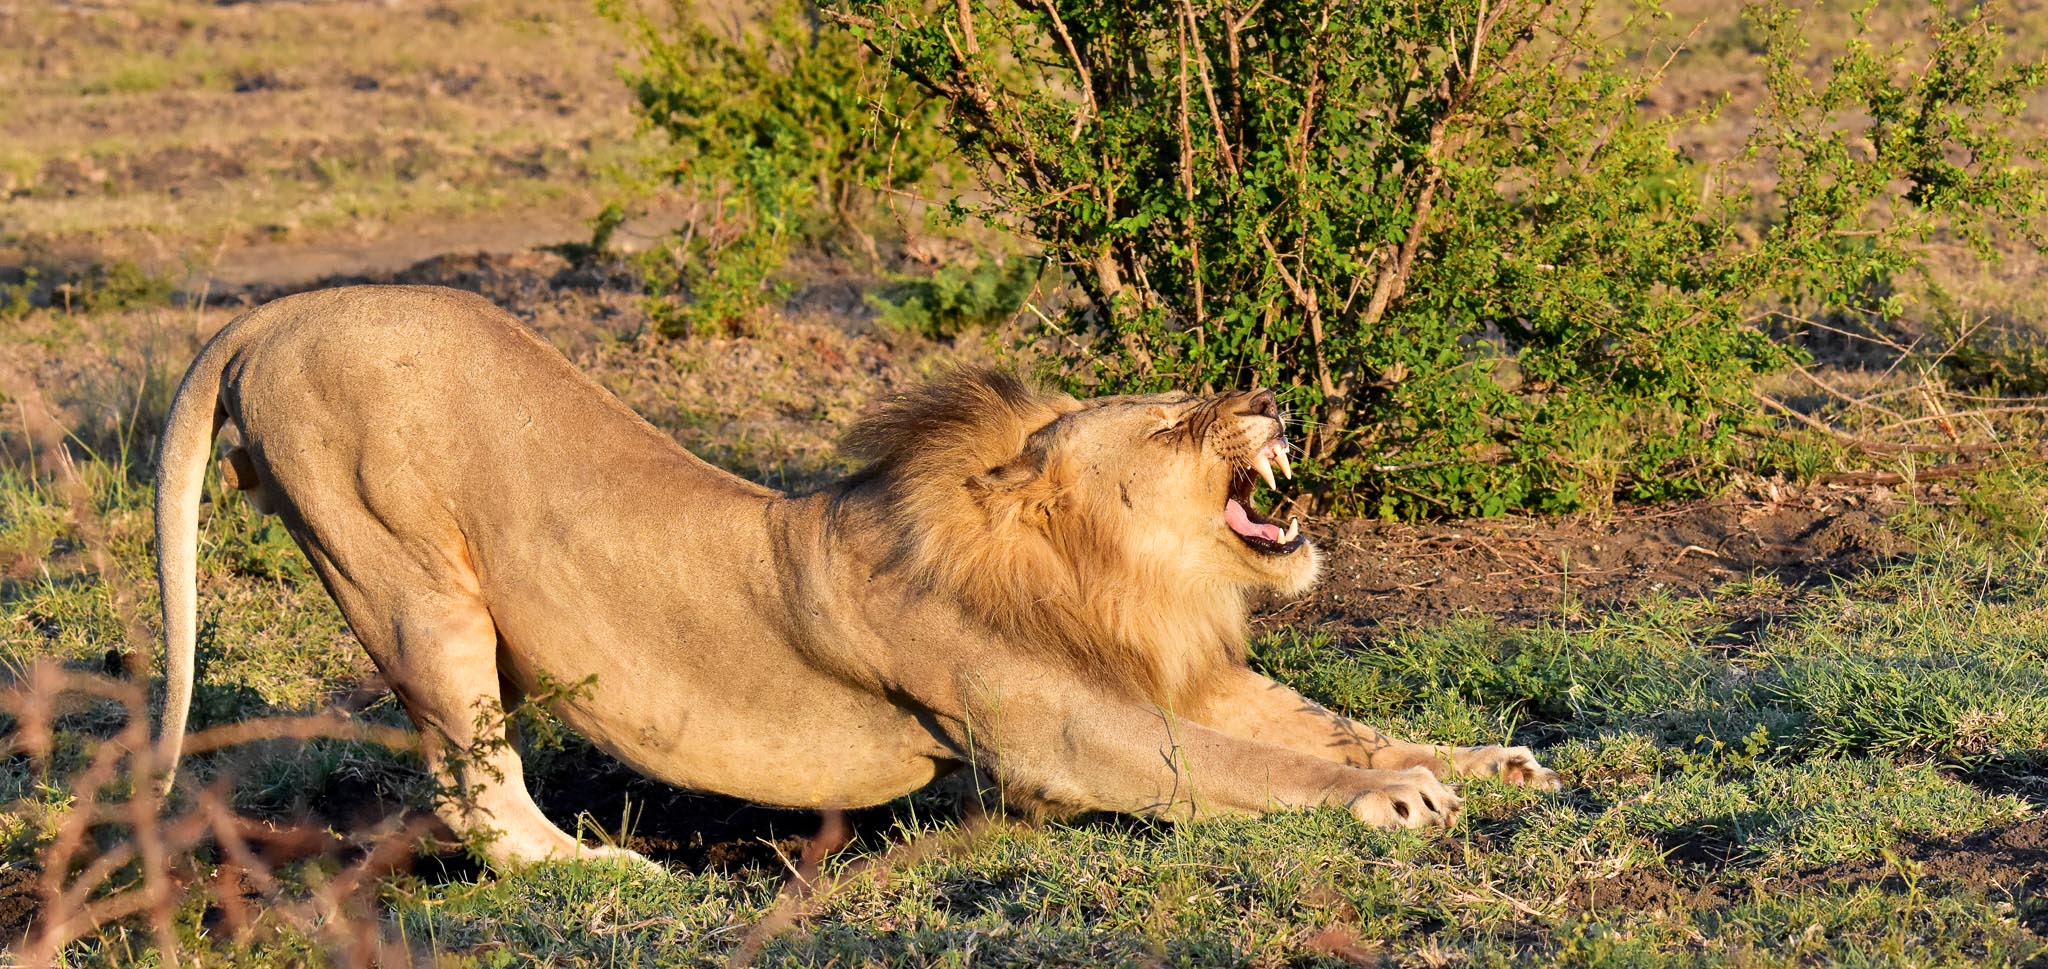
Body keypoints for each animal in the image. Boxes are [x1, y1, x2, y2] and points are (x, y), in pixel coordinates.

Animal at [154, 284, 1559, 868]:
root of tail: (273, 310)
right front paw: (1395, 800)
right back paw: (605, 872)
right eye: (1171, 422)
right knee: (479, 800)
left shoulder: (1185, 673)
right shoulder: (1065, 734)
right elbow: (1252, 766)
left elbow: (1330, 723)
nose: (1268, 393)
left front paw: (1486, 761)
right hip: (406, 576)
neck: (1118, 583)